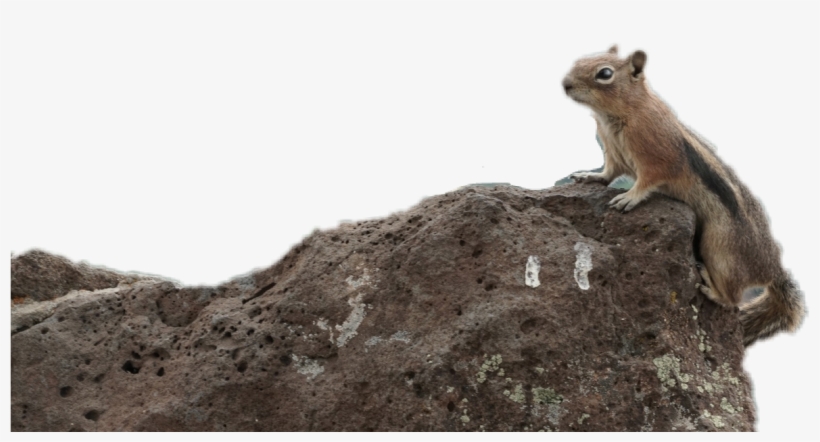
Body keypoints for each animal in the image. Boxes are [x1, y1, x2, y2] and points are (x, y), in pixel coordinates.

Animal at [561, 45, 805, 347]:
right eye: (580, 60)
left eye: (604, 73)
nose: (566, 84)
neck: (622, 112)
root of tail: (772, 270)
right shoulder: (613, 154)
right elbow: (608, 173)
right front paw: (589, 176)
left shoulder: (658, 158)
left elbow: (649, 180)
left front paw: (629, 196)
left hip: (720, 249)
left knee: (733, 299)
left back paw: (713, 290)